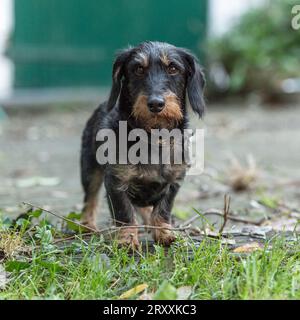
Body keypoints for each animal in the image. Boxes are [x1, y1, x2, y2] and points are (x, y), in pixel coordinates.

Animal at [81, 41, 205, 249]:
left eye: (173, 68)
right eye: (138, 69)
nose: (156, 104)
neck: (153, 137)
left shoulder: (174, 181)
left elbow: (163, 209)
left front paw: (163, 232)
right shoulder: (116, 182)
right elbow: (124, 213)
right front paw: (127, 239)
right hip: (89, 171)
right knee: (90, 199)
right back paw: (87, 225)